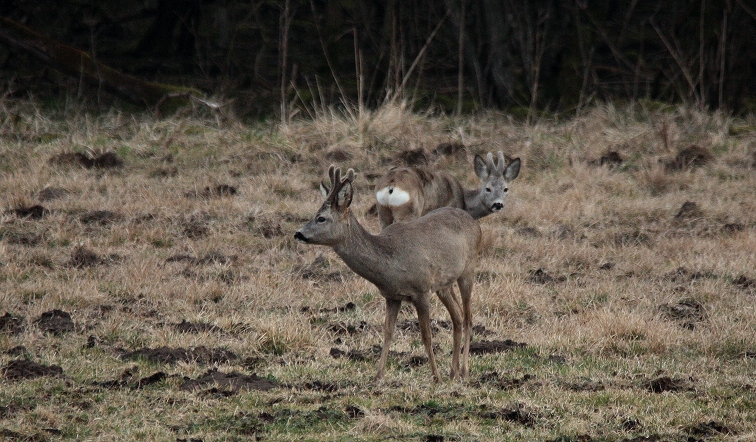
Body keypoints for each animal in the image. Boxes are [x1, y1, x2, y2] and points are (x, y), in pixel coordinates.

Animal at [292, 166, 482, 384]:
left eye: (321, 218)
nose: (298, 233)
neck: (390, 263)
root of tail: (473, 221)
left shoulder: (421, 290)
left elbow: (426, 336)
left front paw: (436, 377)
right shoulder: (392, 296)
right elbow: (387, 333)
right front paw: (378, 376)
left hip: (468, 269)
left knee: (468, 317)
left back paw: (464, 371)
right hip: (443, 283)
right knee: (457, 316)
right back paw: (453, 372)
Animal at [374, 151, 520, 228]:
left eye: (505, 189)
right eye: (488, 188)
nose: (498, 204)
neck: (464, 201)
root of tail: (391, 186)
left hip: (383, 212)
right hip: (409, 212)